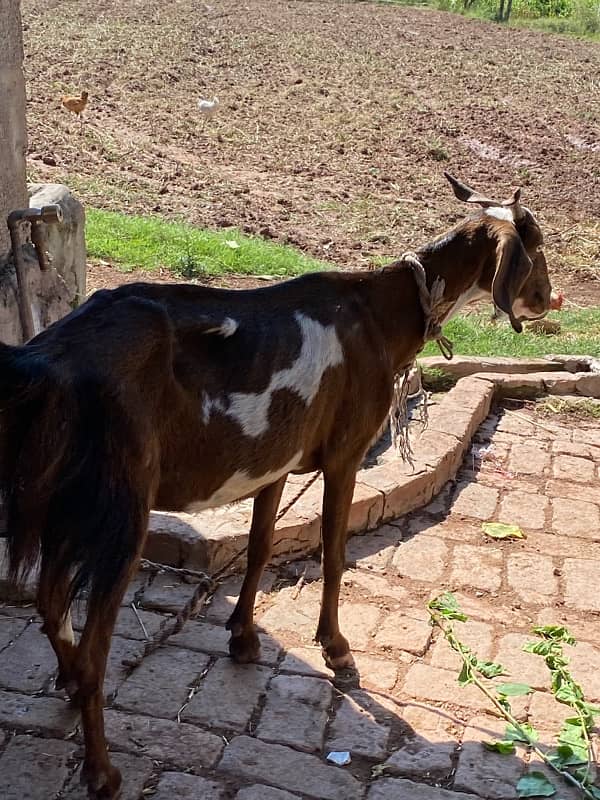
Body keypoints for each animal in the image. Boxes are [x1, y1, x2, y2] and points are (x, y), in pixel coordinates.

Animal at [1, 172, 552, 796]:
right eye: (535, 244)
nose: (547, 299)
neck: (378, 314)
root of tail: (47, 361)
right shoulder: (345, 453)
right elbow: (334, 554)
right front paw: (337, 650)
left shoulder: (274, 462)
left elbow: (262, 546)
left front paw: (242, 637)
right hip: (120, 514)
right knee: (93, 644)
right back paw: (102, 770)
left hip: (62, 504)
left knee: (49, 604)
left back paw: (70, 687)